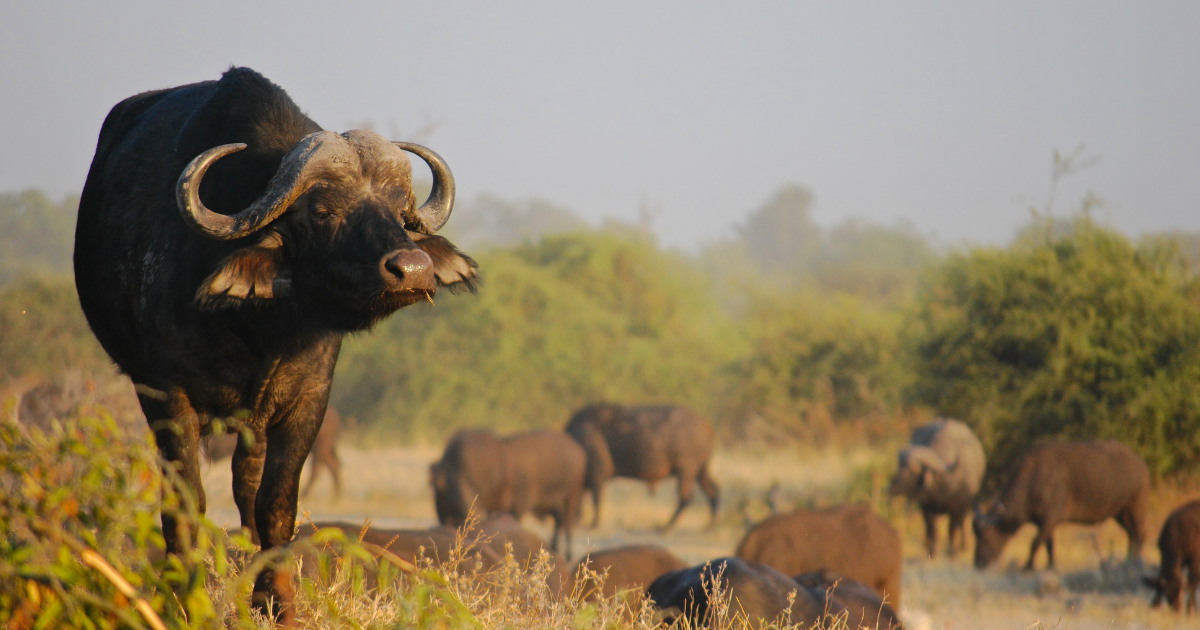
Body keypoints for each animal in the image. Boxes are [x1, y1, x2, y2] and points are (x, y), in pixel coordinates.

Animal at [75, 67, 475, 621]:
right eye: (322, 210)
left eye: (401, 210)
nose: (412, 270)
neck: (259, 330)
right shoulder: (166, 395)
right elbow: (187, 501)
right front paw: (183, 599)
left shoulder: (306, 400)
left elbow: (276, 503)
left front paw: (276, 600)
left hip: (254, 425)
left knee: (246, 487)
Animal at [565, 403, 719, 530]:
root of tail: (707, 426)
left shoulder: (598, 474)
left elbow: (596, 499)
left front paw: (594, 523)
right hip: (700, 471)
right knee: (713, 490)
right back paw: (710, 525)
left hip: (686, 471)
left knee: (686, 498)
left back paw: (665, 527)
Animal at [889, 418, 985, 557]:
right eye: (899, 465)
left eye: (913, 469)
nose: (893, 487)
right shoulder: (928, 509)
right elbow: (933, 529)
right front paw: (933, 552)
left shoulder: (957, 508)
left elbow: (952, 529)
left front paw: (954, 551)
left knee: (963, 523)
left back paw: (964, 546)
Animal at [973, 440, 1148, 571]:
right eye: (977, 536)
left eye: (985, 537)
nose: (978, 563)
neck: (1035, 479)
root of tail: (1140, 464)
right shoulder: (1046, 523)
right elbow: (1049, 545)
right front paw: (1051, 565)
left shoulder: (1051, 519)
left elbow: (1035, 543)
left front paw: (1027, 566)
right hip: (1120, 513)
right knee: (1131, 534)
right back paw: (1127, 561)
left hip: (1135, 507)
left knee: (1139, 534)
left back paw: (1134, 563)